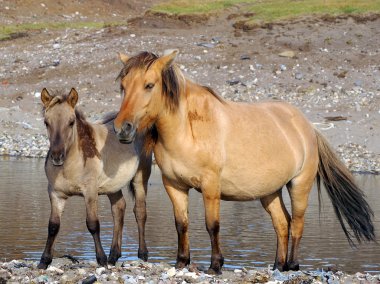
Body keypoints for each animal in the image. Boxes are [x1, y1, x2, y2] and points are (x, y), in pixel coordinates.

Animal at [38, 88, 151, 268]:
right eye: (46, 122)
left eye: (71, 122)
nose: (57, 157)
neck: (70, 166)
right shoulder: (55, 194)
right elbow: (53, 226)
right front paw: (44, 260)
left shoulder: (90, 192)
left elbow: (93, 224)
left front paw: (101, 259)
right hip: (113, 186)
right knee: (119, 209)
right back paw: (114, 256)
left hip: (140, 178)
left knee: (140, 212)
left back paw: (142, 254)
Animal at [112, 50, 374, 274]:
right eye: (123, 86)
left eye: (149, 85)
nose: (122, 129)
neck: (186, 129)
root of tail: (307, 126)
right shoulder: (174, 185)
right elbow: (181, 224)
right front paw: (181, 262)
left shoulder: (211, 186)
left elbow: (212, 225)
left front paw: (215, 265)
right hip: (269, 192)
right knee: (282, 223)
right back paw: (278, 265)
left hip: (300, 185)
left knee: (297, 224)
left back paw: (292, 265)